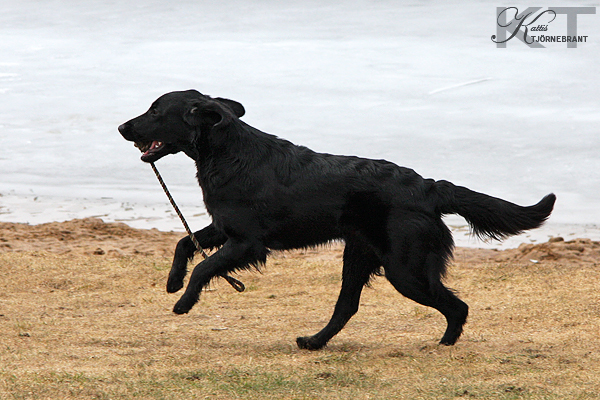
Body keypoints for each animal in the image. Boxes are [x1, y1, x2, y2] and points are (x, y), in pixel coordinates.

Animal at [118, 89, 556, 348]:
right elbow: (184, 244)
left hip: (405, 269)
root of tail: (429, 187)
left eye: (155, 110)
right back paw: (313, 342)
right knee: (347, 307)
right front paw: (173, 282)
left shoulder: (246, 242)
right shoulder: (224, 227)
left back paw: (444, 345)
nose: (122, 126)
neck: (229, 152)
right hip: (360, 256)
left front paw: (184, 302)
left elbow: (204, 267)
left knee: (457, 306)